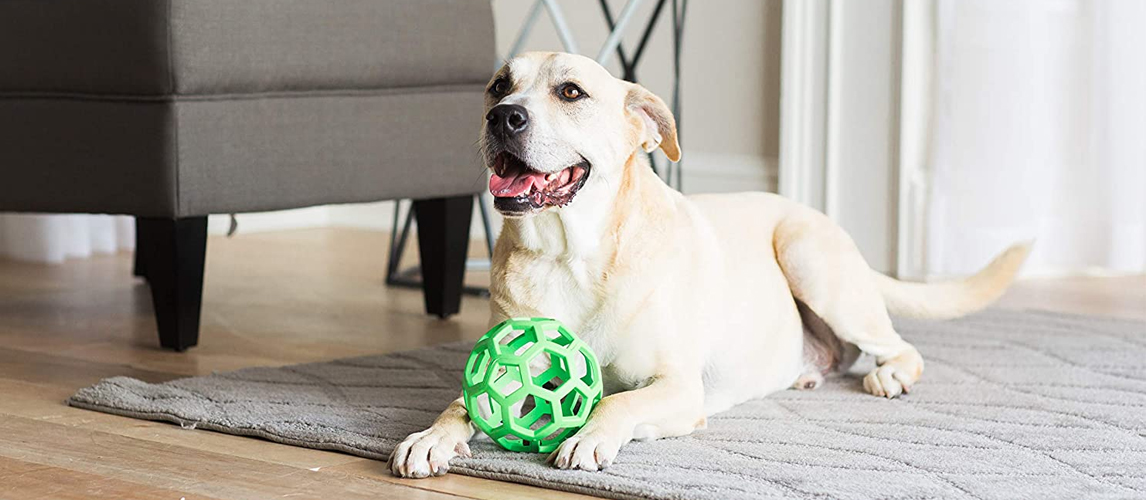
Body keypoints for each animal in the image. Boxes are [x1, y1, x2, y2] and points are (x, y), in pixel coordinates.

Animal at [391, 52, 1031, 479]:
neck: (570, 254)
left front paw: (591, 435)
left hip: (807, 254)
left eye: (571, 93)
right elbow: (463, 400)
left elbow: (618, 400)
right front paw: (432, 436)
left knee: (900, 346)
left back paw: (891, 374)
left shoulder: (678, 387)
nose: (503, 116)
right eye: (499, 85)